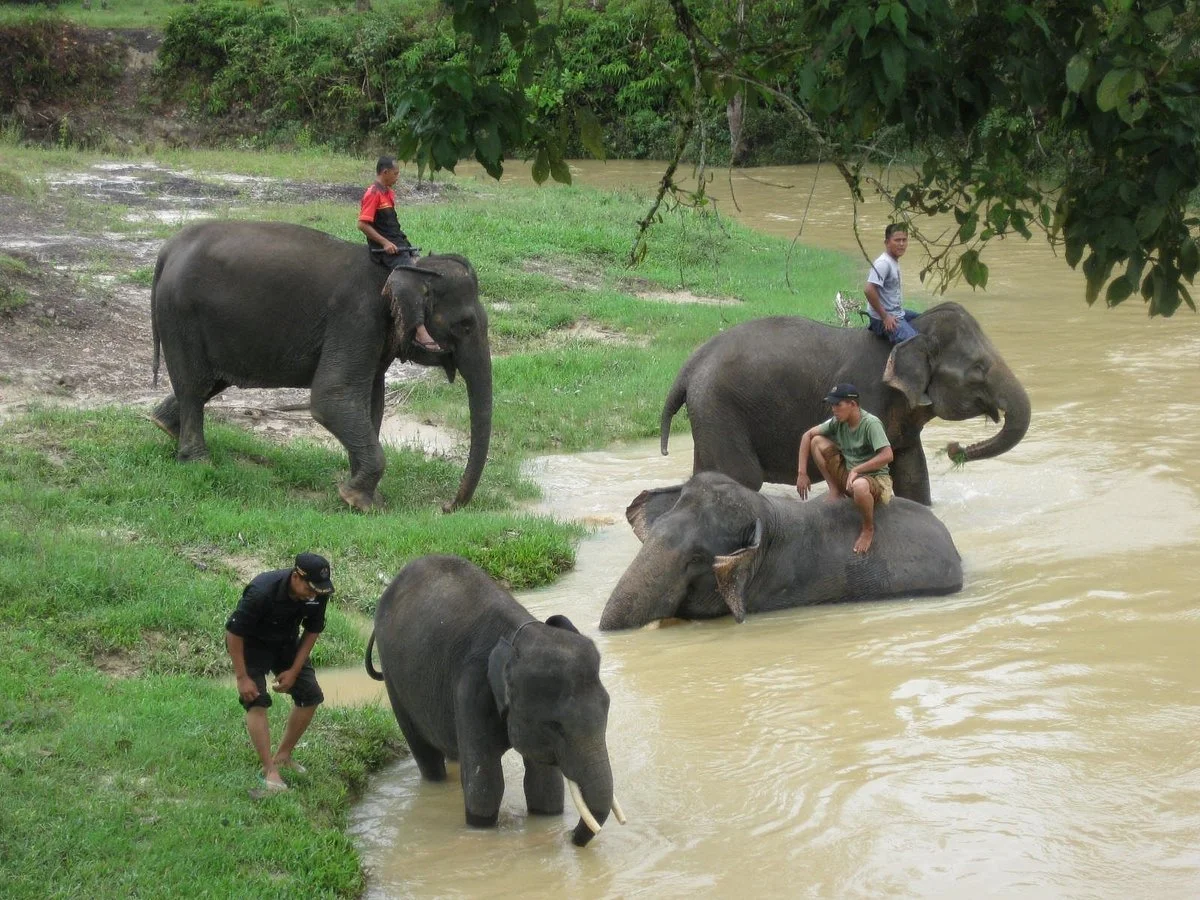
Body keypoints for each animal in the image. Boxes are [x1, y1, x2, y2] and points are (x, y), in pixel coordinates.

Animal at [148, 220, 491, 512]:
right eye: (465, 325)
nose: (446, 507)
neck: (408, 269)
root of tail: (168, 250)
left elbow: (371, 403)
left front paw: (367, 498)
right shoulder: (357, 318)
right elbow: (332, 397)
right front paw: (358, 501)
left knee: (209, 381)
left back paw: (164, 426)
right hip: (181, 313)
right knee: (194, 385)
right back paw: (198, 462)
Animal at [365, 554, 625, 846]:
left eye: (607, 711)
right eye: (555, 726)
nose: (569, 836)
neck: (517, 637)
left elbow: (543, 782)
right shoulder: (473, 690)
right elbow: (486, 785)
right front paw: (481, 827)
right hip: (393, 677)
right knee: (424, 751)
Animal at [659, 302, 1030, 505]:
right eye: (978, 369)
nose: (955, 449)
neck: (913, 330)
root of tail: (688, 366)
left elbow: (912, 474)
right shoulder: (870, 396)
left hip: (709, 410)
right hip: (719, 407)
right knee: (740, 475)